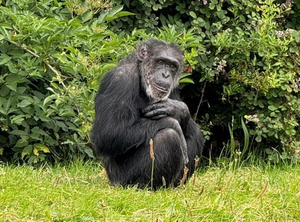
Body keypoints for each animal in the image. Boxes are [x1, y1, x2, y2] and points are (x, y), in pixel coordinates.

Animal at [91, 38, 204, 189]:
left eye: (172, 66)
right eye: (160, 61)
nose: (166, 74)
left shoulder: (173, 88)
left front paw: (177, 108)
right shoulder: (121, 80)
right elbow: (109, 132)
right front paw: (171, 121)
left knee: (194, 133)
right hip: (122, 180)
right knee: (168, 136)